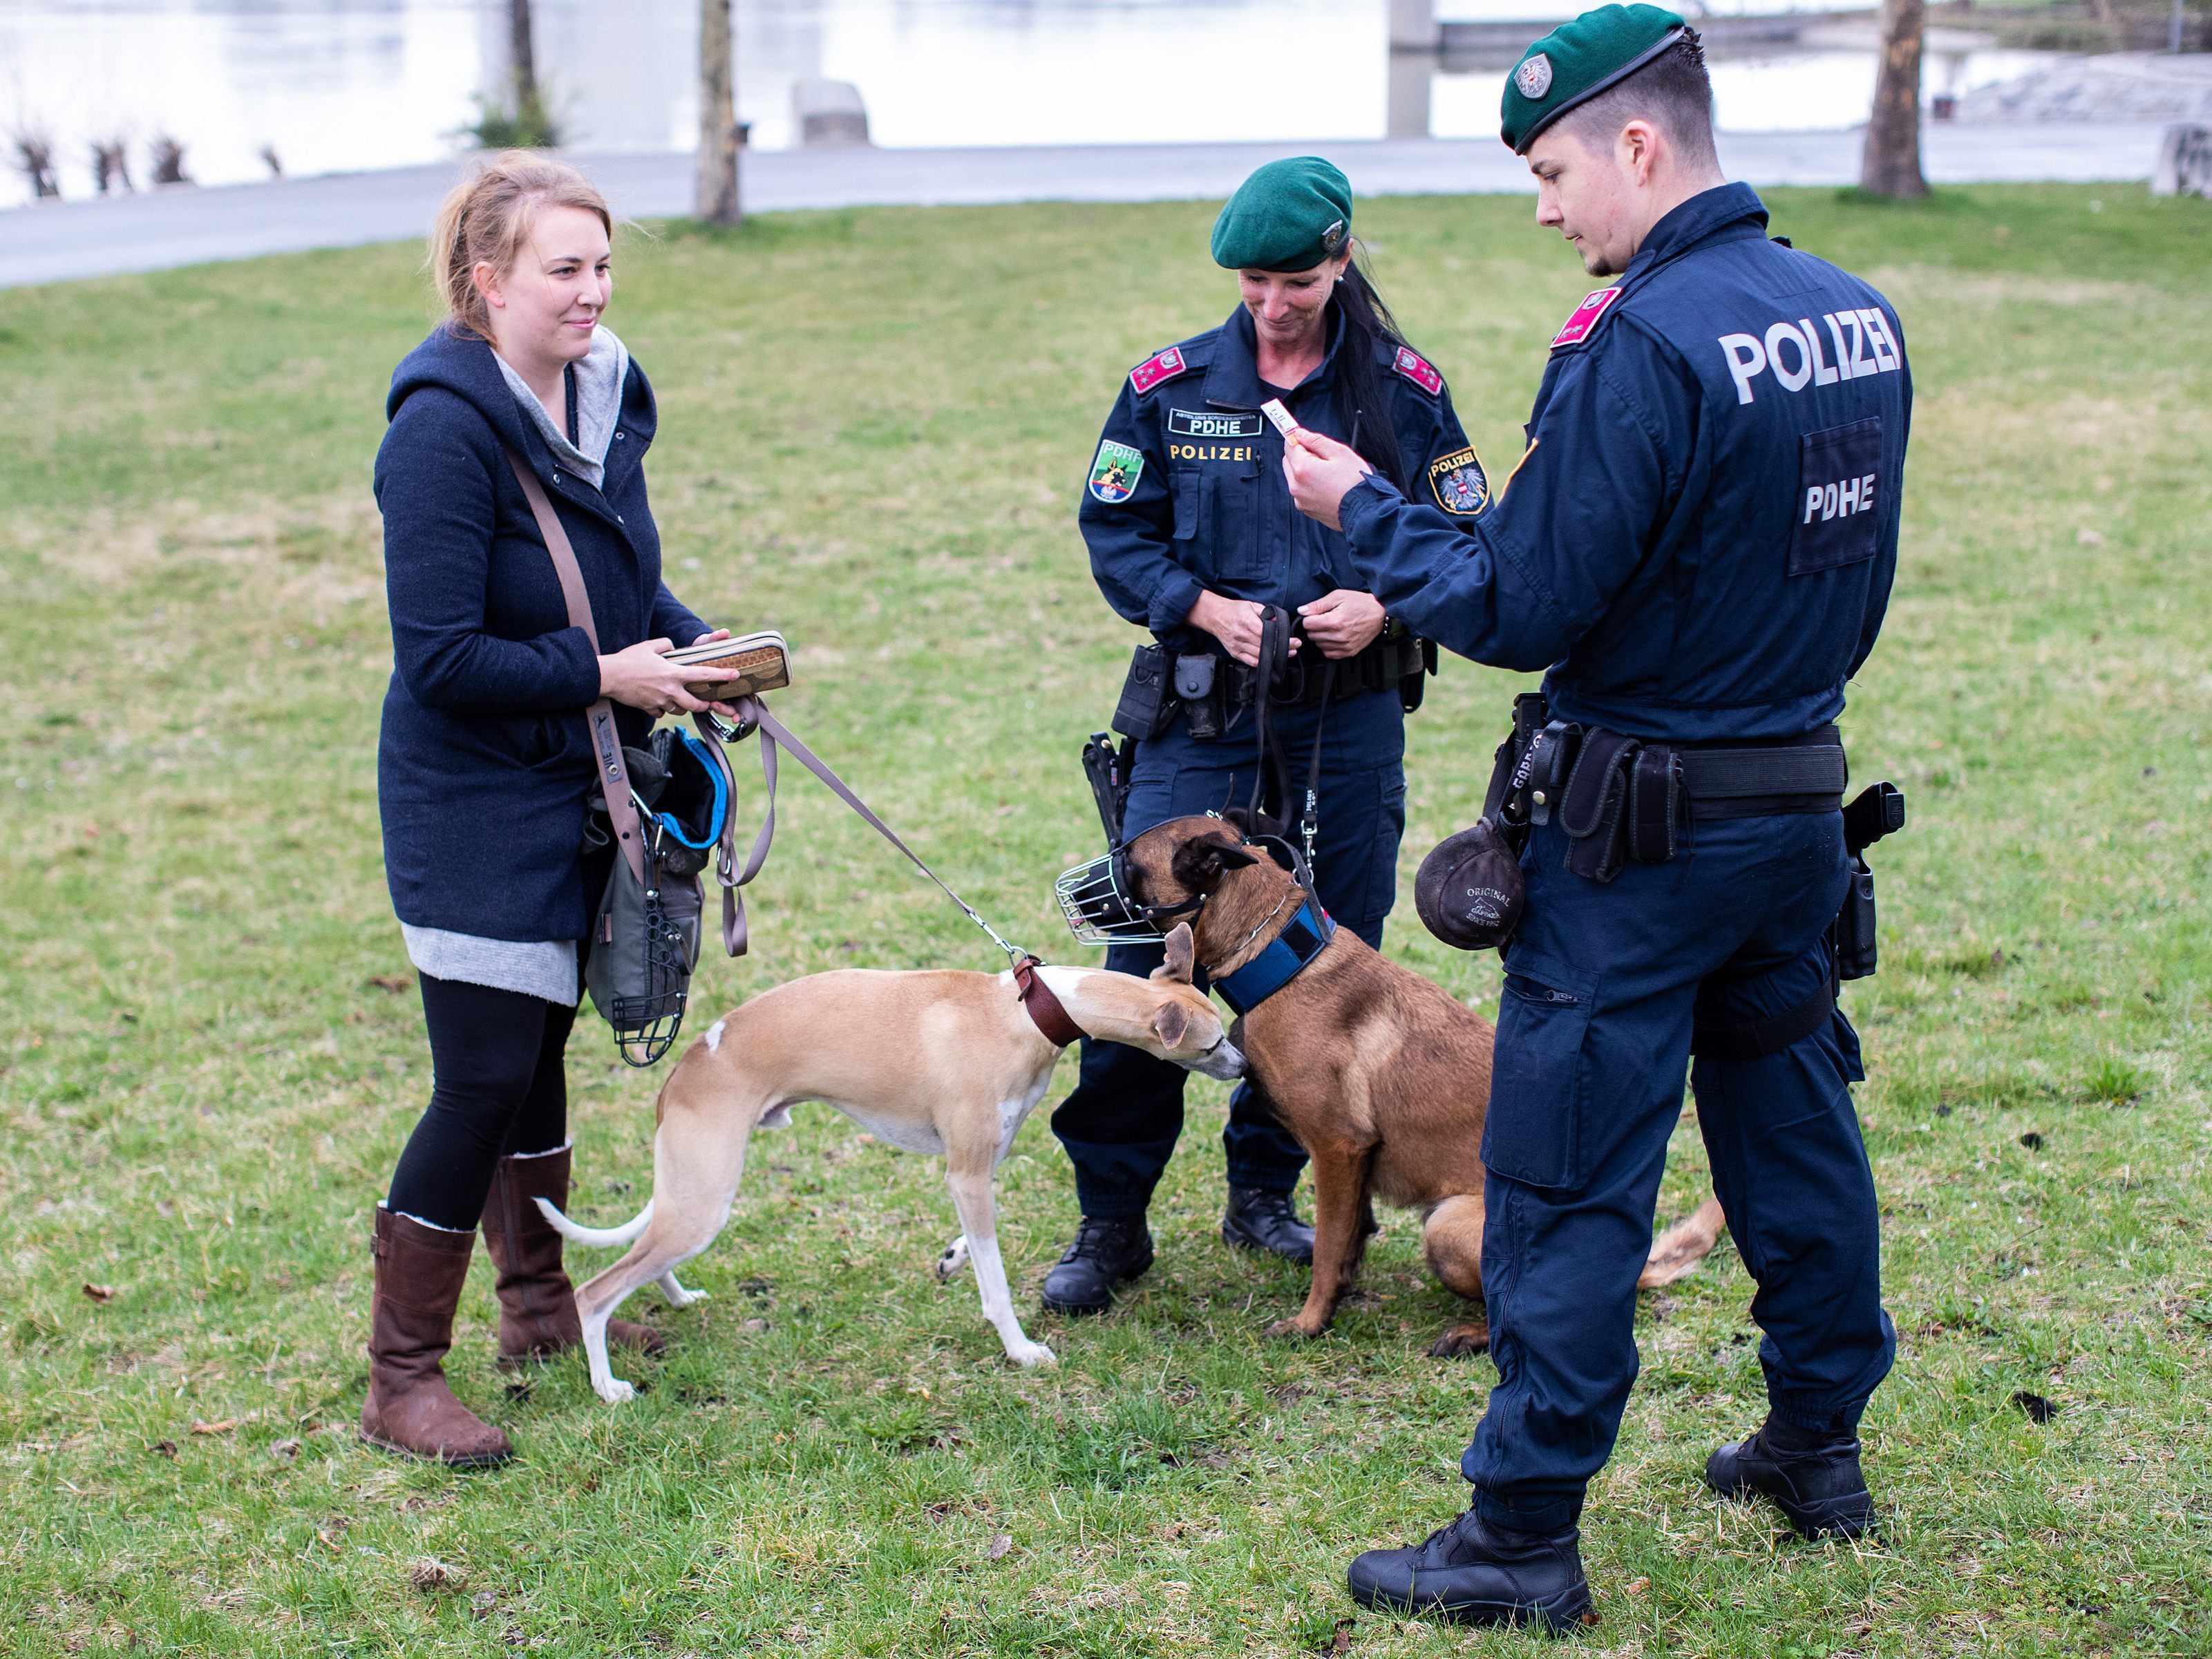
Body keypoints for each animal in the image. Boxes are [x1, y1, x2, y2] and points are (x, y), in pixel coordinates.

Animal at [526, 942, 1238, 1398]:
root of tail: (682, 1069)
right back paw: (608, 1387)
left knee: (647, 1257)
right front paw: (1020, 1351)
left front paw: (954, 1256)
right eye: (1211, 1043)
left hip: (689, 1199)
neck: (1025, 1008)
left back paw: (676, 1297)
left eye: (1224, 1029)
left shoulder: (975, 1166)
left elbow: (975, 1242)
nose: (1243, 1066)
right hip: (704, 1198)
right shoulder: (968, 1171)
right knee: (596, 1292)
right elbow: (997, 1285)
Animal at [1115, 814, 1716, 1354]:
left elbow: (1327, 1248)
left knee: (1515, 1314)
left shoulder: (1337, 1148)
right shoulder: (1355, 1162)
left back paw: (1469, 1336)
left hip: (1445, 1227)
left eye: (1127, 861)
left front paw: (1309, 1322)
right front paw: (1338, 1300)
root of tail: (1634, 1274)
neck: (1281, 957)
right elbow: (1349, 1239)